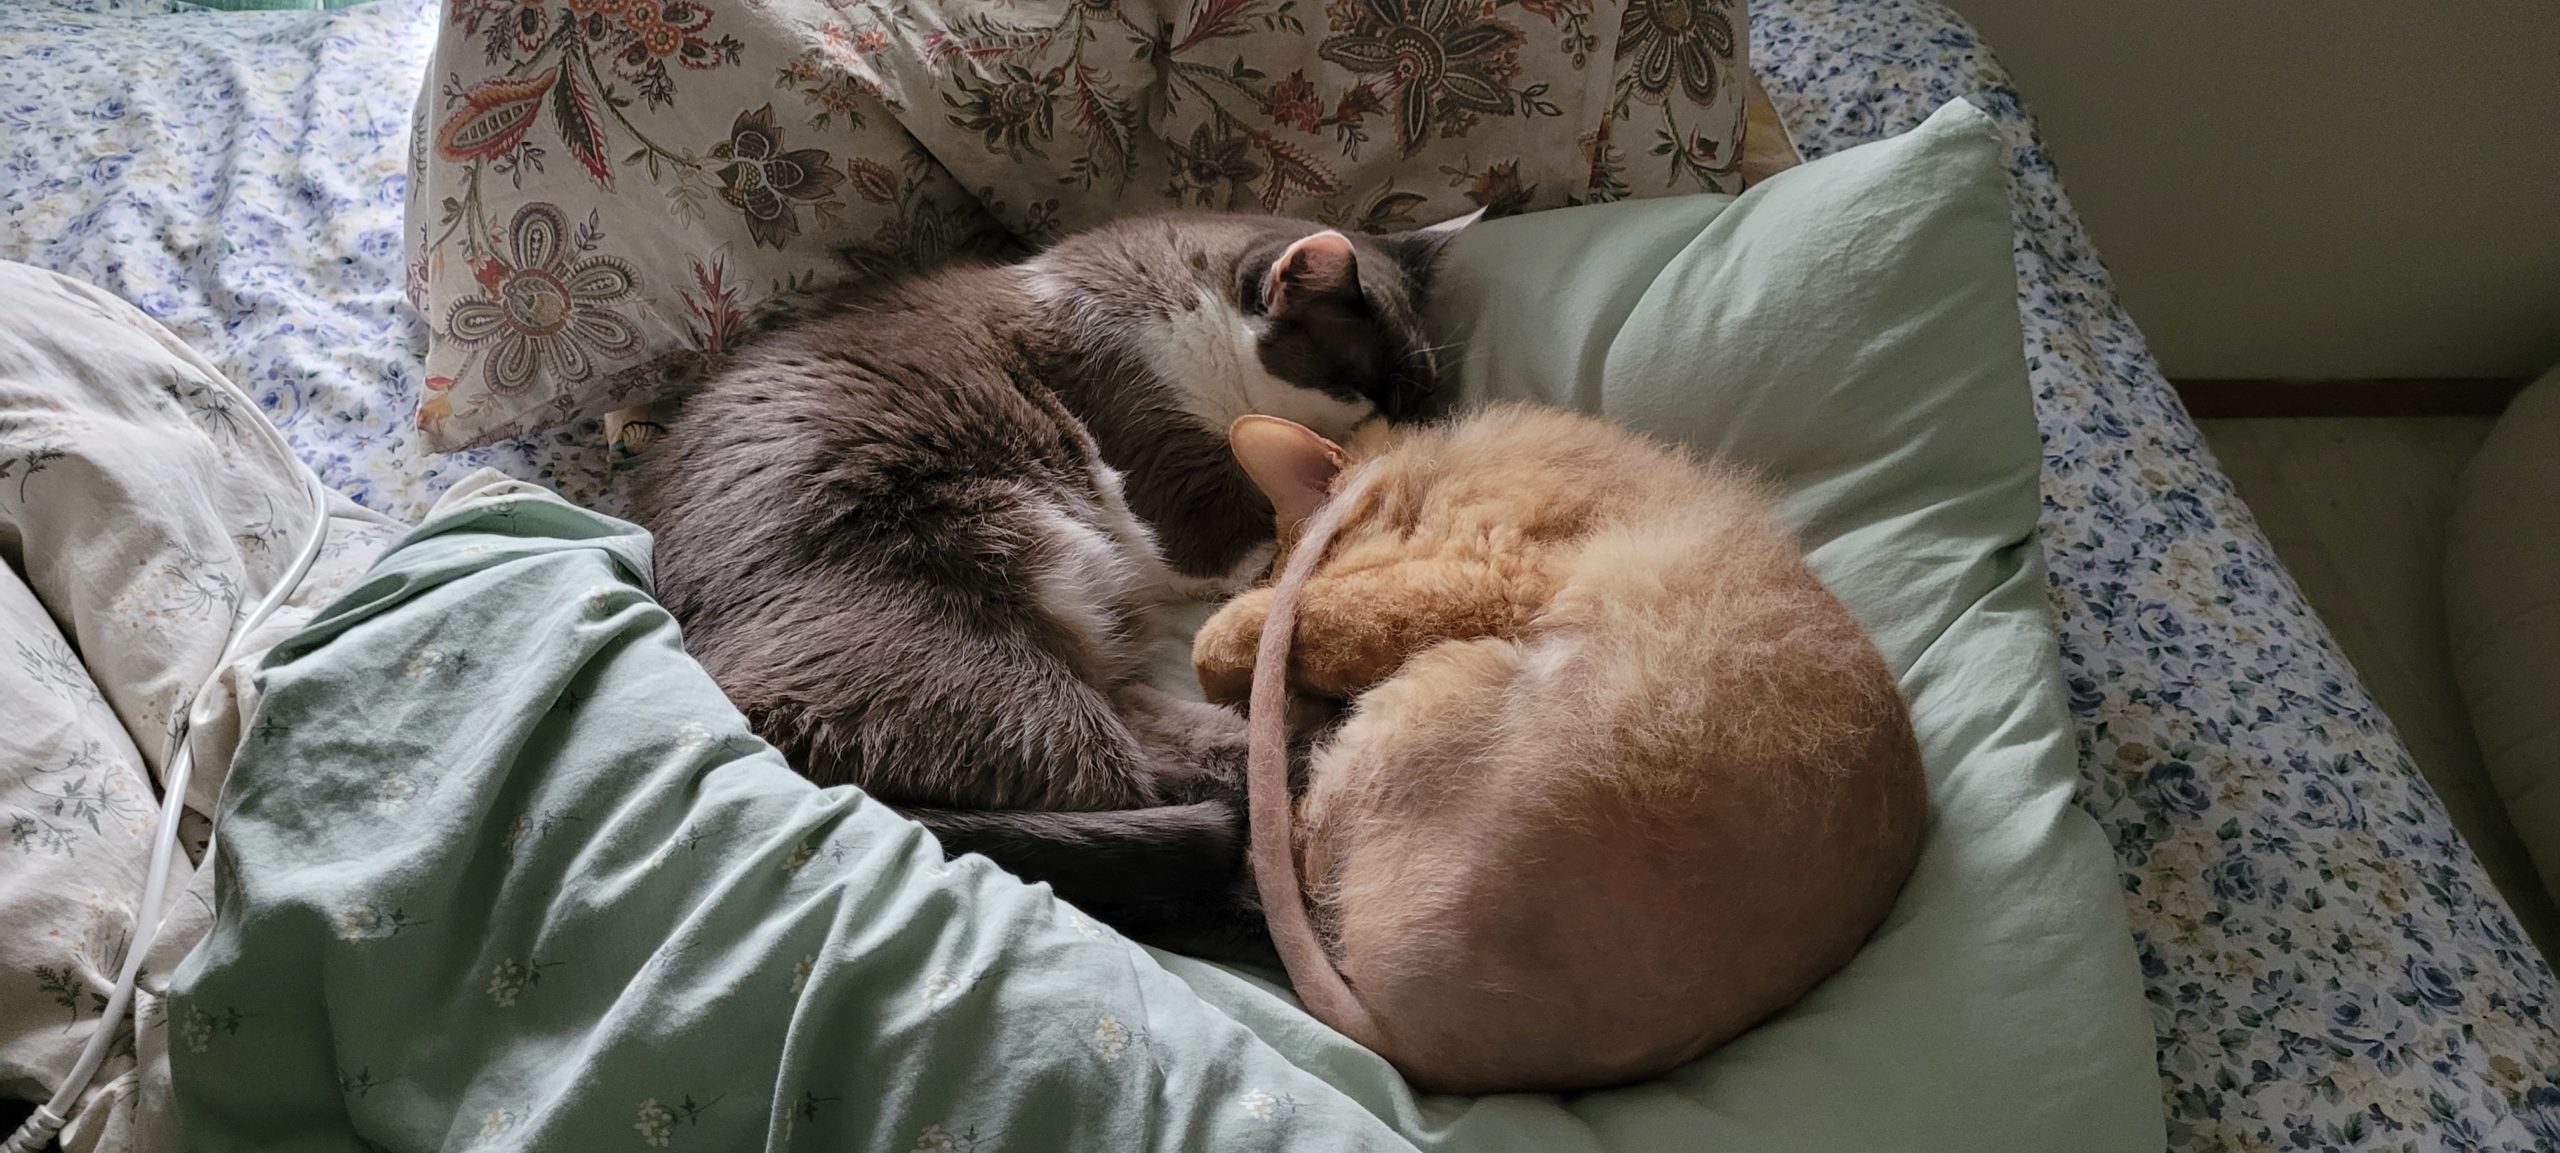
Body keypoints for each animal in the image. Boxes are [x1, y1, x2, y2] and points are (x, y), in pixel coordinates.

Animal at [632, 211, 1474, 948]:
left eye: (1425, 390)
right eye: (1372, 388)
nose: (1417, 425)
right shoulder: (1179, 484)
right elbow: (1258, 540)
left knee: (1190, 763)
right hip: (996, 663)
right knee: (1153, 827)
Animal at [1192, 407, 1925, 1096]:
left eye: (1306, 555)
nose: (1312, 707)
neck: (1434, 471)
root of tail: (1419, 1047)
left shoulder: (1480, 575)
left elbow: (1274, 623)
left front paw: (1228, 652)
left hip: (1441, 681)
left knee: (1292, 850)